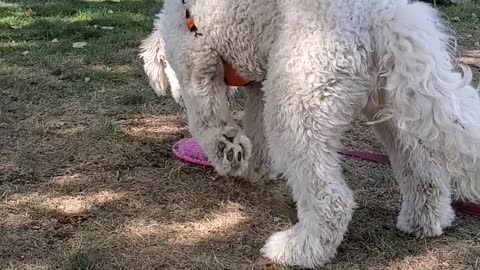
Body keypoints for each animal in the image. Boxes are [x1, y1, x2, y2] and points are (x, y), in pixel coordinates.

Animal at [141, 0, 480, 266]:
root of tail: (383, 14)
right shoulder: (260, 88)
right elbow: (256, 133)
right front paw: (255, 169)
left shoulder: (197, 64)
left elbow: (206, 120)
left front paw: (229, 152)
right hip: (391, 104)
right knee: (425, 167)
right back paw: (425, 219)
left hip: (295, 104)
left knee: (333, 200)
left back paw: (299, 250)